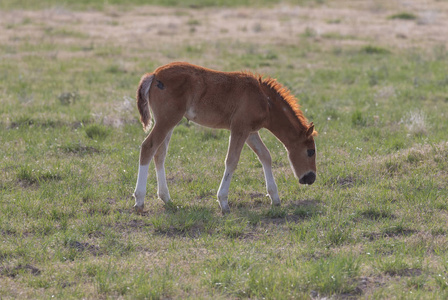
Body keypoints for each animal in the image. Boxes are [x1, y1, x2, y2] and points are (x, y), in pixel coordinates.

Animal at [132, 62, 316, 214]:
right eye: (310, 151)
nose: (311, 178)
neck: (264, 99)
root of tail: (154, 75)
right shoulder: (239, 128)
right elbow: (232, 160)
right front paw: (223, 202)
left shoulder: (250, 132)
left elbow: (265, 156)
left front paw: (275, 198)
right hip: (168, 119)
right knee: (148, 147)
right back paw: (139, 201)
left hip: (168, 122)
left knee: (159, 154)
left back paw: (166, 197)